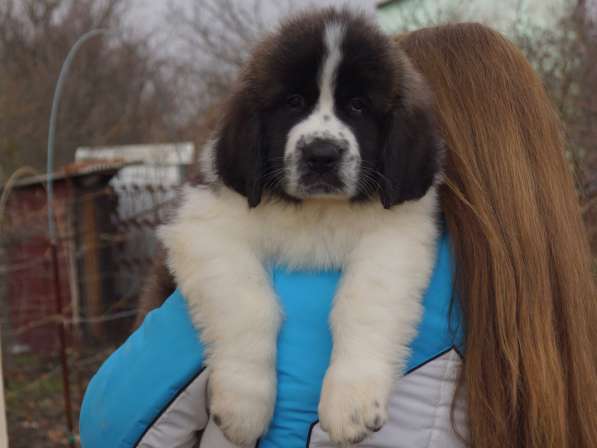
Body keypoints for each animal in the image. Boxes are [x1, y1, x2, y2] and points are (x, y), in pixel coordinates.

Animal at [158, 8, 442, 446]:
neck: (316, 210)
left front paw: (351, 403)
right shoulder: (204, 224)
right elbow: (250, 304)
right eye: (293, 102)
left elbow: (363, 302)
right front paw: (243, 405)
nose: (321, 155)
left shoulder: (397, 236)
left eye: (358, 106)